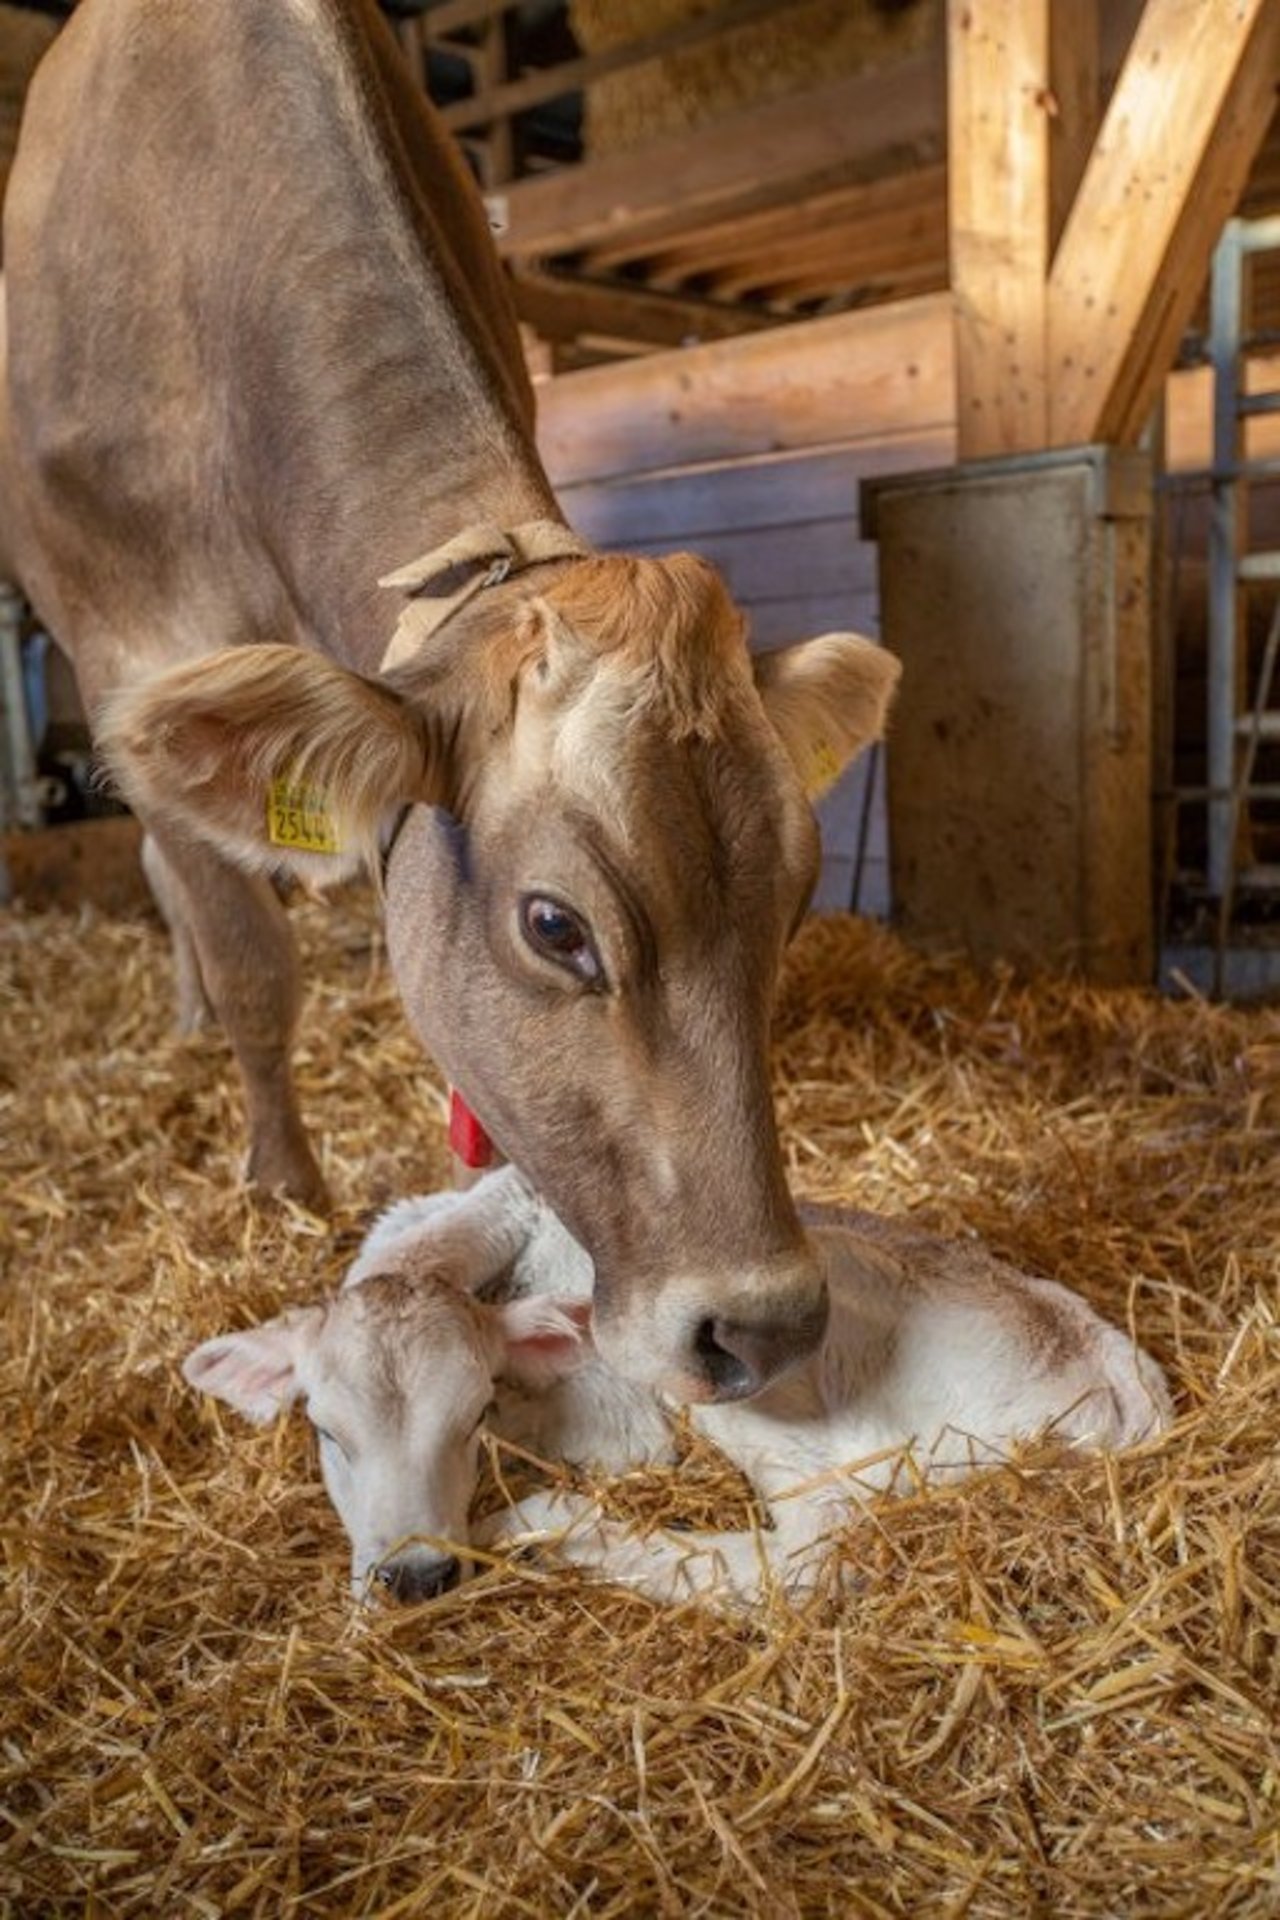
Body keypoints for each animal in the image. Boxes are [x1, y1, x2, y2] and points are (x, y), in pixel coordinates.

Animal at [0, 3, 901, 1413]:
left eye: (799, 896)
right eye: (554, 926)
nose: (764, 1329)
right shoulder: (127, 644)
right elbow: (253, 958)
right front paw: (282, 1188)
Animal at [185, 1167, 1174, 1605]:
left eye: (469, 1418)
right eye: (325, 1431)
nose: (416, 1576)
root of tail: (1123, 1381)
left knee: (810, 1556)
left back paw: (544, 1526)